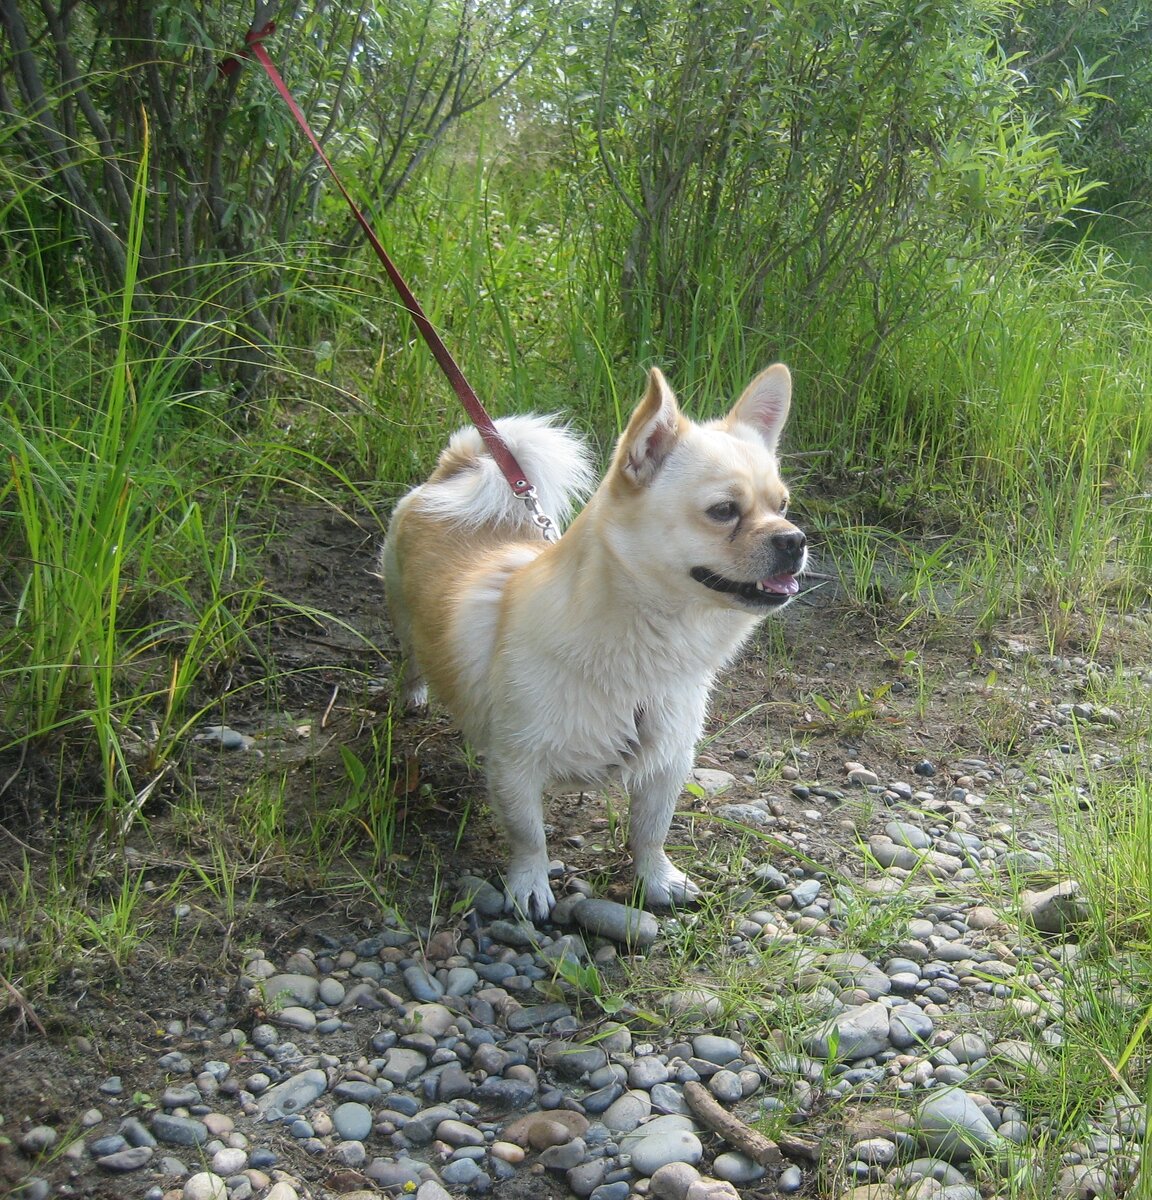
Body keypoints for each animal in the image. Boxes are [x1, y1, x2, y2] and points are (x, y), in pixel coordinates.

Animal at [381, 364, 806, 916]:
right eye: (723, 510)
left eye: (783, 506)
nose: (794, 539)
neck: (646, 647)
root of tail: (458, 470)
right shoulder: (516, 765)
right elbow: (529, 834)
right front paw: (529, 885)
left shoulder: (667, 763)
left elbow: (650, 831)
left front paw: (657, 879)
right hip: (401, 613)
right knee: (410, 657)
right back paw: (413, 694)